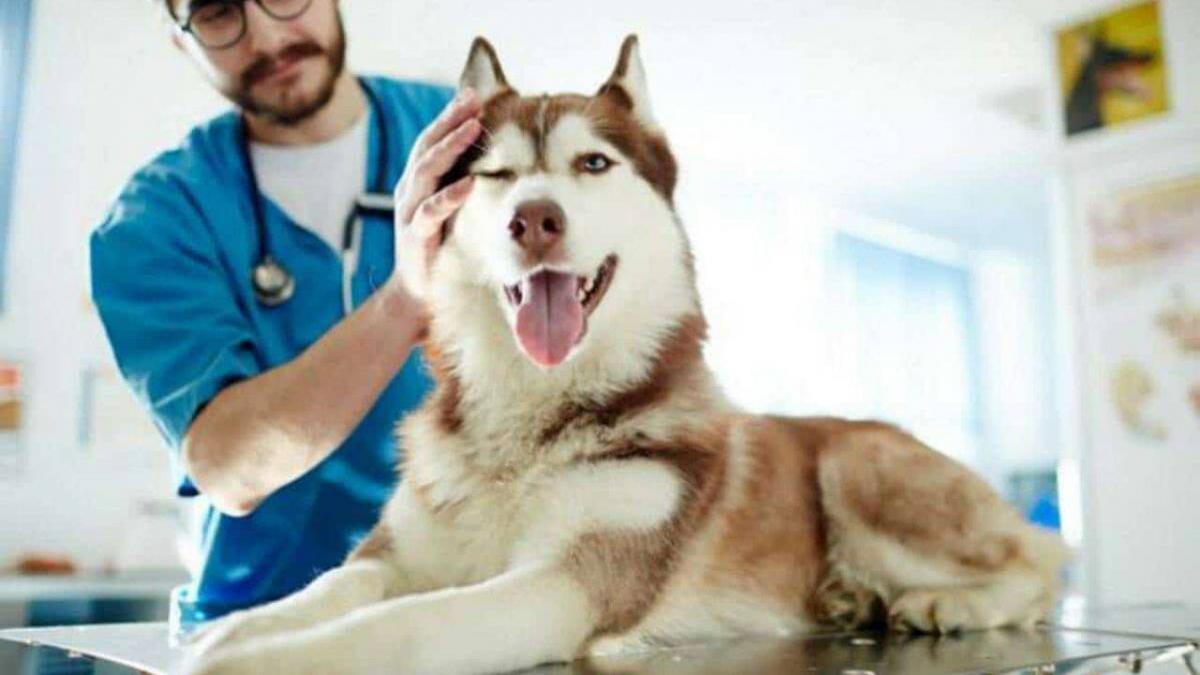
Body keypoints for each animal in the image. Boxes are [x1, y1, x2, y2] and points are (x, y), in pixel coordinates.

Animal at [189, 35, 1070, 672]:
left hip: (857, 464)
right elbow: (335, 582)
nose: (534, 219)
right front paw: (244, 628)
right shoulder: (398, 550)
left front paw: (264, 659)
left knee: (1041, 557)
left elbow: (406, 623)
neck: (527, 421)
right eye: (495, 174)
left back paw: (949, 602)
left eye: (593, 163)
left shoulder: (568, 582)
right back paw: (854, 598)